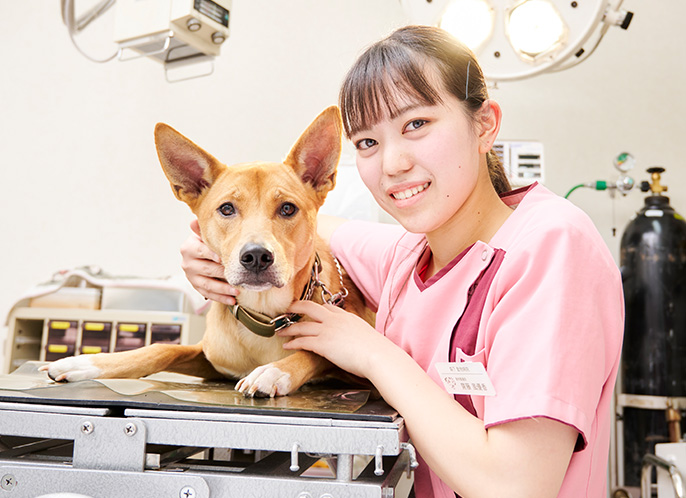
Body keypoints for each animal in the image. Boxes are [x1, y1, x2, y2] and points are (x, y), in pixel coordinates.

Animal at [41, 107, 374, 398]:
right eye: (226, 209)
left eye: (288, 208)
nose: (256, 256)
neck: (265, 317)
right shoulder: (211, 360)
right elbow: (164, 348)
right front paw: (86, 362)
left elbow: (316, 352)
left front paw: (274, 372)